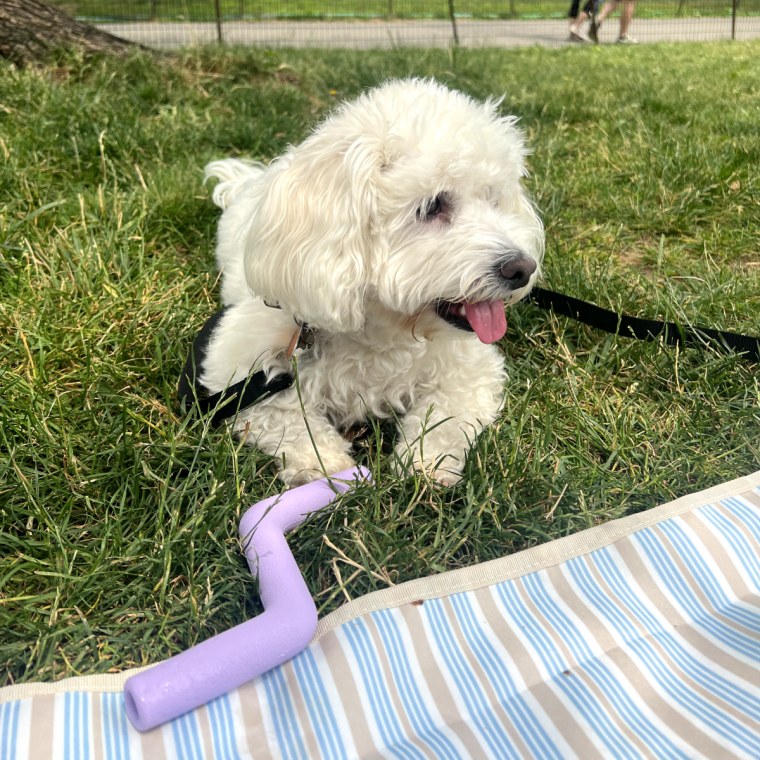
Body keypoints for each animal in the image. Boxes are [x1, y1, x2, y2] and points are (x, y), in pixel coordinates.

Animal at [191, 80, 548, 484]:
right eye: (432, 206)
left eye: (494, 199)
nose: (522, 269)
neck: (382, 331)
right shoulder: (235, 375)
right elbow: (290, 422)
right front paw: (326, 466)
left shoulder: (472, 372)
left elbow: (445, 418)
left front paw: (424, 462)